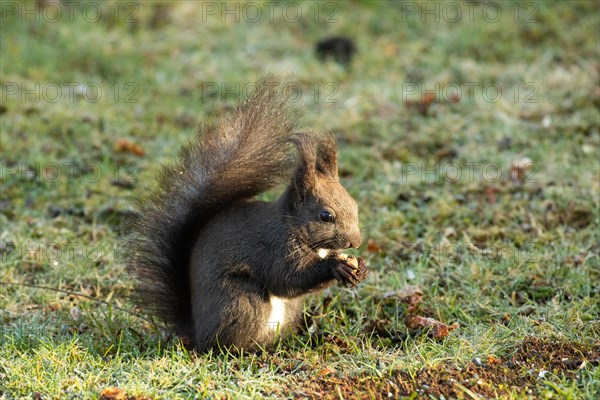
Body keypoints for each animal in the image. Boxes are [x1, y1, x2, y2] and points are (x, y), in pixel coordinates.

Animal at [129, 76, 368, 352]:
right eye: (325, 216)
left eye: (355, 206)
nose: (356, 242)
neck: (294, 227)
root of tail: (197, 333)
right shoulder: (274, 249)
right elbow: (287, 278)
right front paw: (337, 267)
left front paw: (359, 268)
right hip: (241, 298)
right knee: (230, 343)